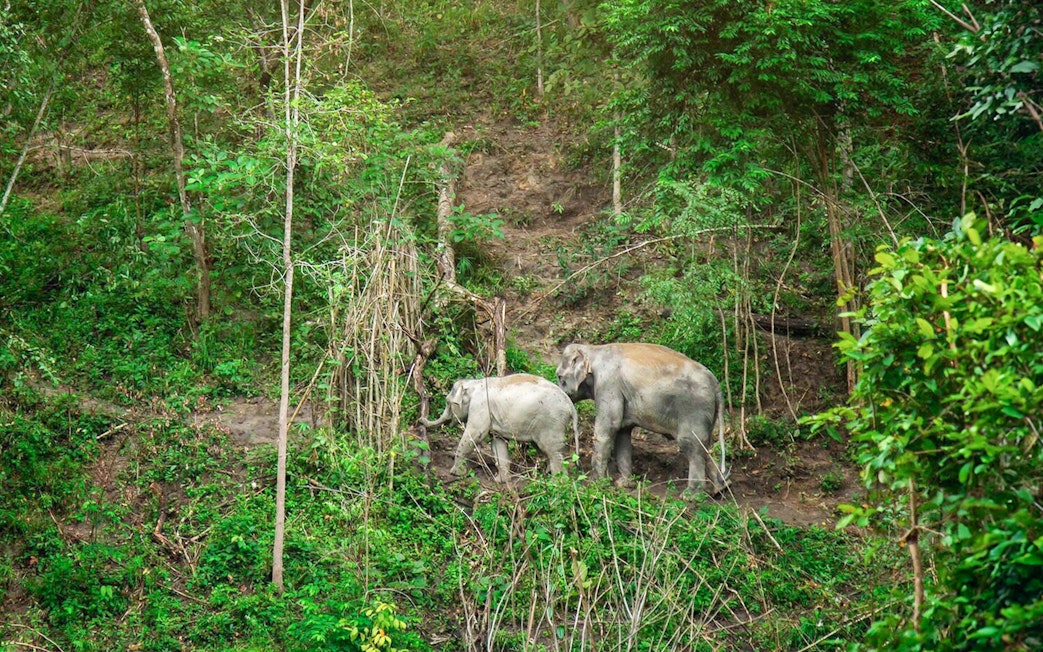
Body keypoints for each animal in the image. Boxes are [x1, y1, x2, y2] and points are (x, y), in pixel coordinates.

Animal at [420, 373, 579, 482]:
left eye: (448, 402)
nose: (420, 419)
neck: (474, 384)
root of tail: (570, 405)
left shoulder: (480, 405)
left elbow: (475, 434)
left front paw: (455, 473)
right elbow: (498, 443)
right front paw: (500, 481)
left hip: (552, 421)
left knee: (552, 450)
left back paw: (557, 482)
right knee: (546, 450)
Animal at [556, 342, 728, 493]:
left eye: (559, 377)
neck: (592, 349)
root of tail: (716, 383)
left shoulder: (608, 384)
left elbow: (609, 427)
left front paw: (594, 484)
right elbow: (622, 433)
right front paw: (625, 484)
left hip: (695, 408)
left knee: (692, 445)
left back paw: (691, 495)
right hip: (707, 412)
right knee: (705, 445)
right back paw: (720, 489)